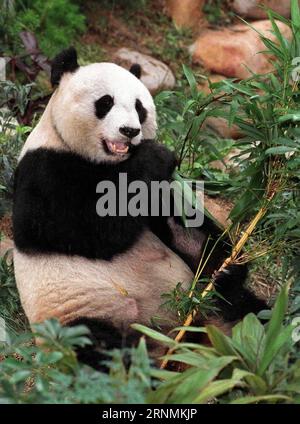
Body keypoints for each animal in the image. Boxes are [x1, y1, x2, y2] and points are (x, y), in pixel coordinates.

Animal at [12, 47, 268, 368]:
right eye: (105, 102)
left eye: (139, 107)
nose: (130, 131)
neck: (106, 163)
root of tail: (174, 337)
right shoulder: (44, 170)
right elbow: (89, 230)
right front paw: (156, 154)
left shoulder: (156, 195)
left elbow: (183, 229)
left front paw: (227, 264)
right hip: (76, 315)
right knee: (95, 347)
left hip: (207, 307)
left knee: (246, 310)